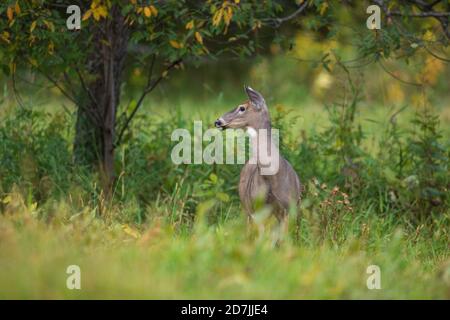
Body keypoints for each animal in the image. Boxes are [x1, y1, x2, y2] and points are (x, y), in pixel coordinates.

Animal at [214, 86, 302, 239]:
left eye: (242, 108)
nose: (218, 121)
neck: (273, 177)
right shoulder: (257, 207)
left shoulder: (288, 208)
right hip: (247, 208)